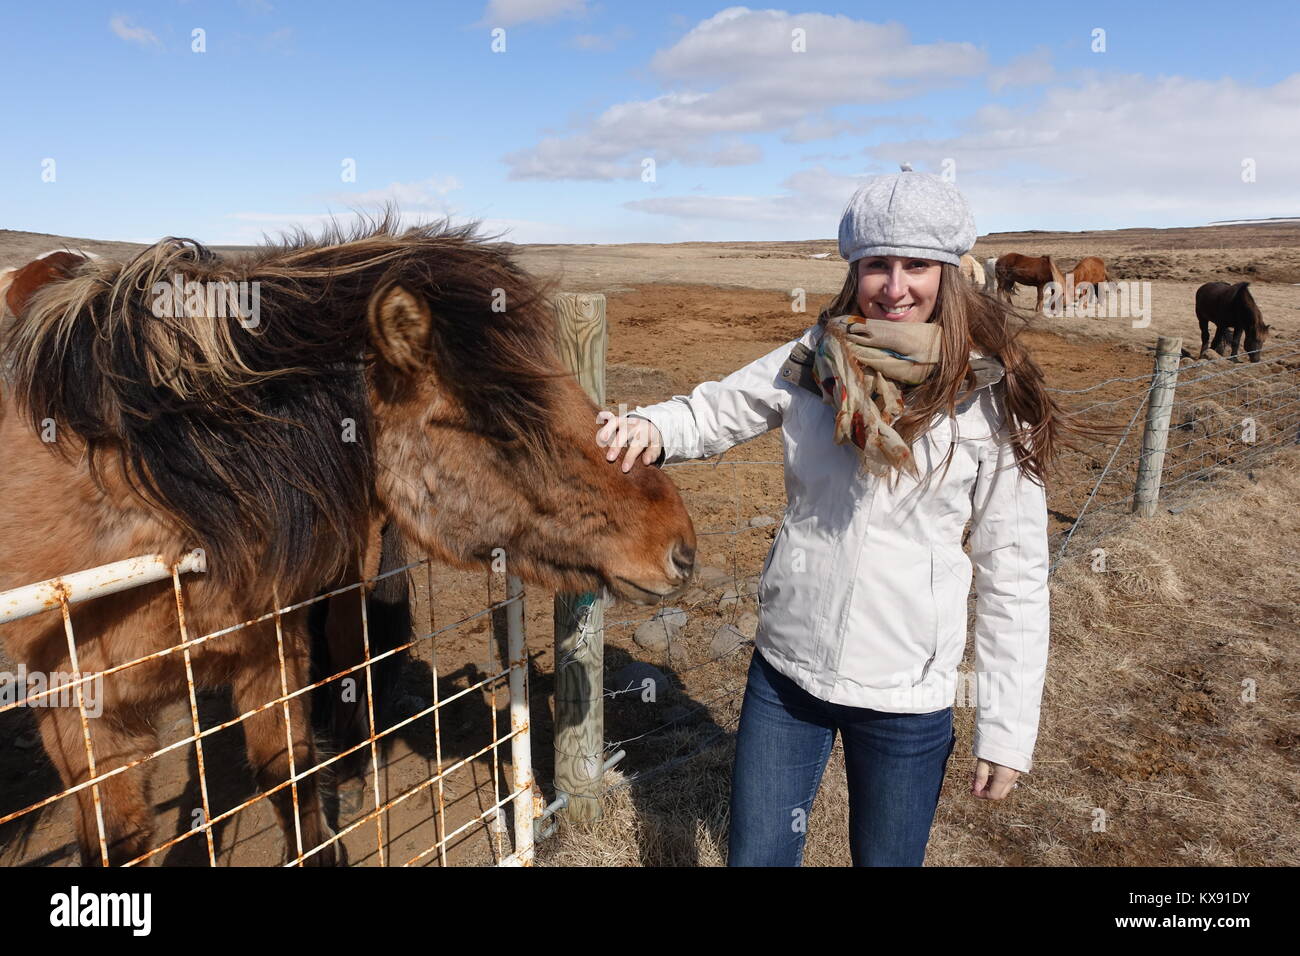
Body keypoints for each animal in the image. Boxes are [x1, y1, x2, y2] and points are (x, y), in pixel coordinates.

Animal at [0, 218, 702, 868]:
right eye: (500, 424)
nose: (681, 548)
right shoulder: (80, 724)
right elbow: (121, 843)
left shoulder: (271, 656)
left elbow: (290, 779)